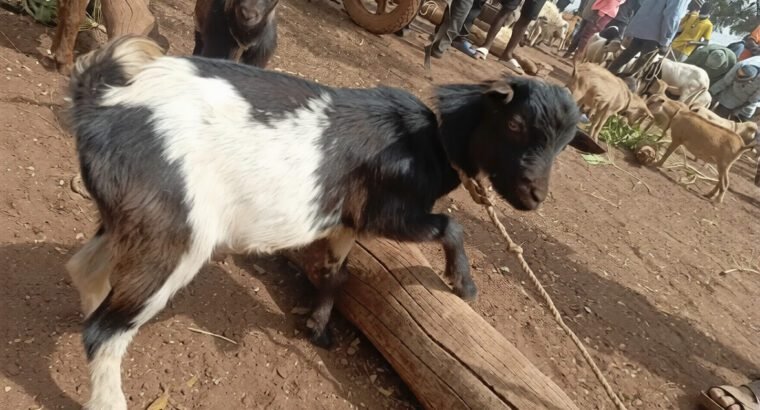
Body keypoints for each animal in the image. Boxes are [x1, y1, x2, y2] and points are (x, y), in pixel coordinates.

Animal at [66, 35, 604, 410]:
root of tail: (101, 105)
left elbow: (335, 274)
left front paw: (319, 328)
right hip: (177, 237)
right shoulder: (390, 213)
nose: (534, 197)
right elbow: (453, 226)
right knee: (105, 330)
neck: (430, 137)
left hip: (140, 215)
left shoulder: (346, 220)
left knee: (85, 270)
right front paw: (464, 285)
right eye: (514, 124)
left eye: (565, 143)